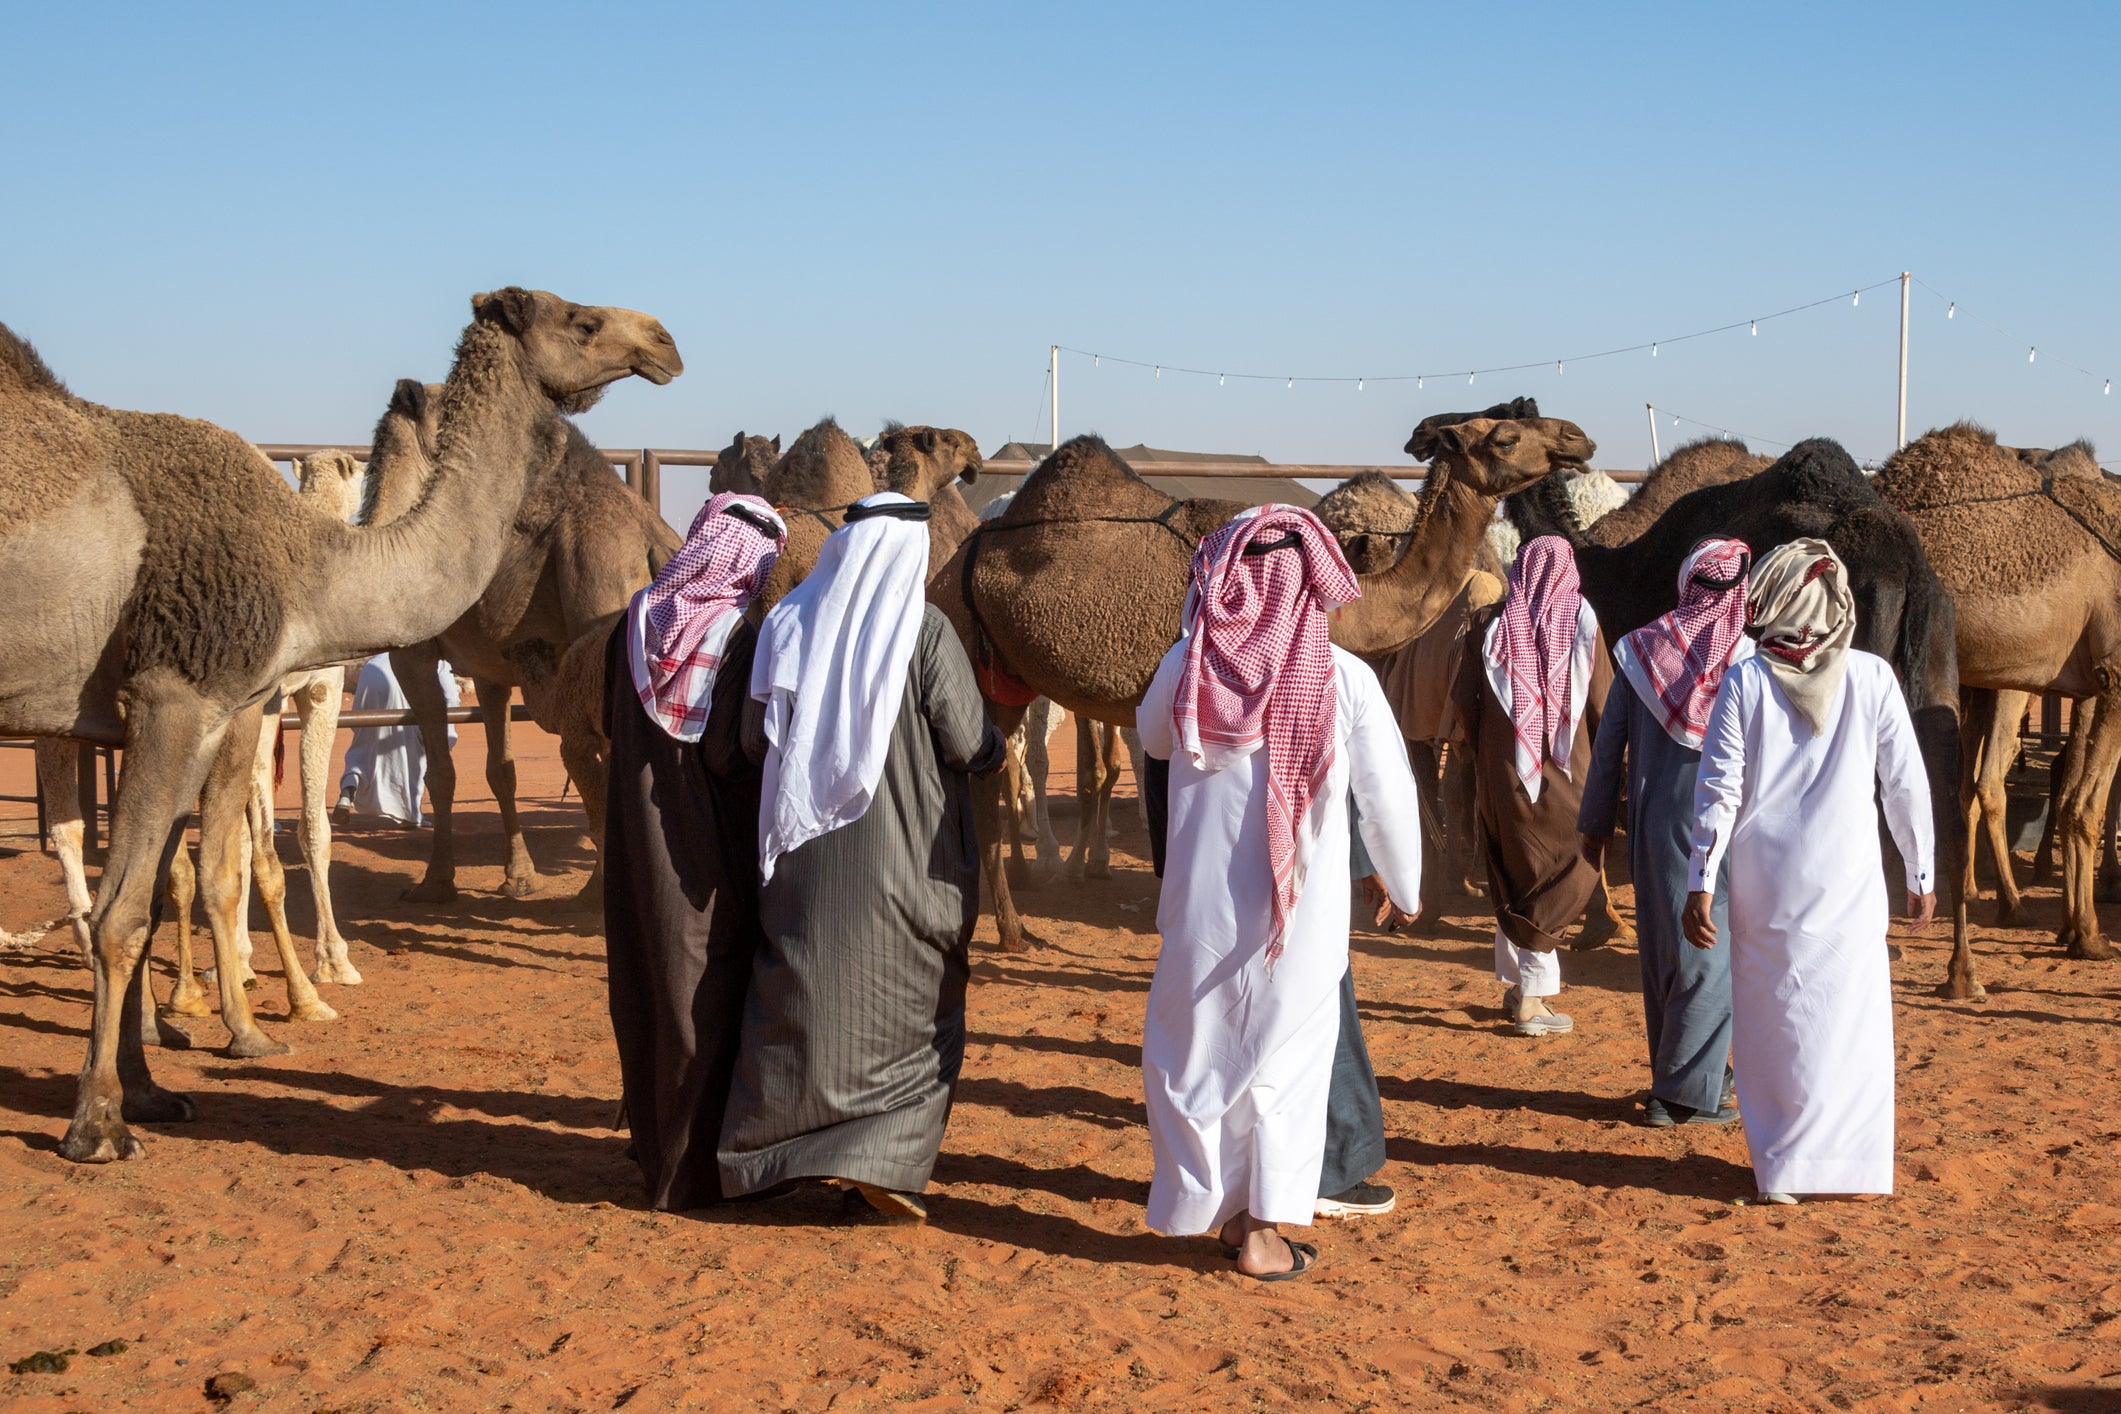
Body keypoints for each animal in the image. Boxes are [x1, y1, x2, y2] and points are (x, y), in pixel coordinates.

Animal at [355, 378, 683, 905]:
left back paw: (593, 894)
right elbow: (500, 770)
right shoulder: (489, 668)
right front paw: (519, 878)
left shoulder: (415, 656)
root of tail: (655, 542)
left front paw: (435, 883)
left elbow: (441, 772)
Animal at [937, 399, 1595, 951]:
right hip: (968, 649)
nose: (1577, 437)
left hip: (1006, 680)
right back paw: (1010, 927)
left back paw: (1013, 925)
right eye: (1505, 436)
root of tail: (952, 562)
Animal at [1873, 424, 2121, 966]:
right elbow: (2089, 806)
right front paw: (2092, 935)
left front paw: (2071, 929)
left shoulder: (2089, 682)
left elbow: (2068, 797)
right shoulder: (2116, 669)